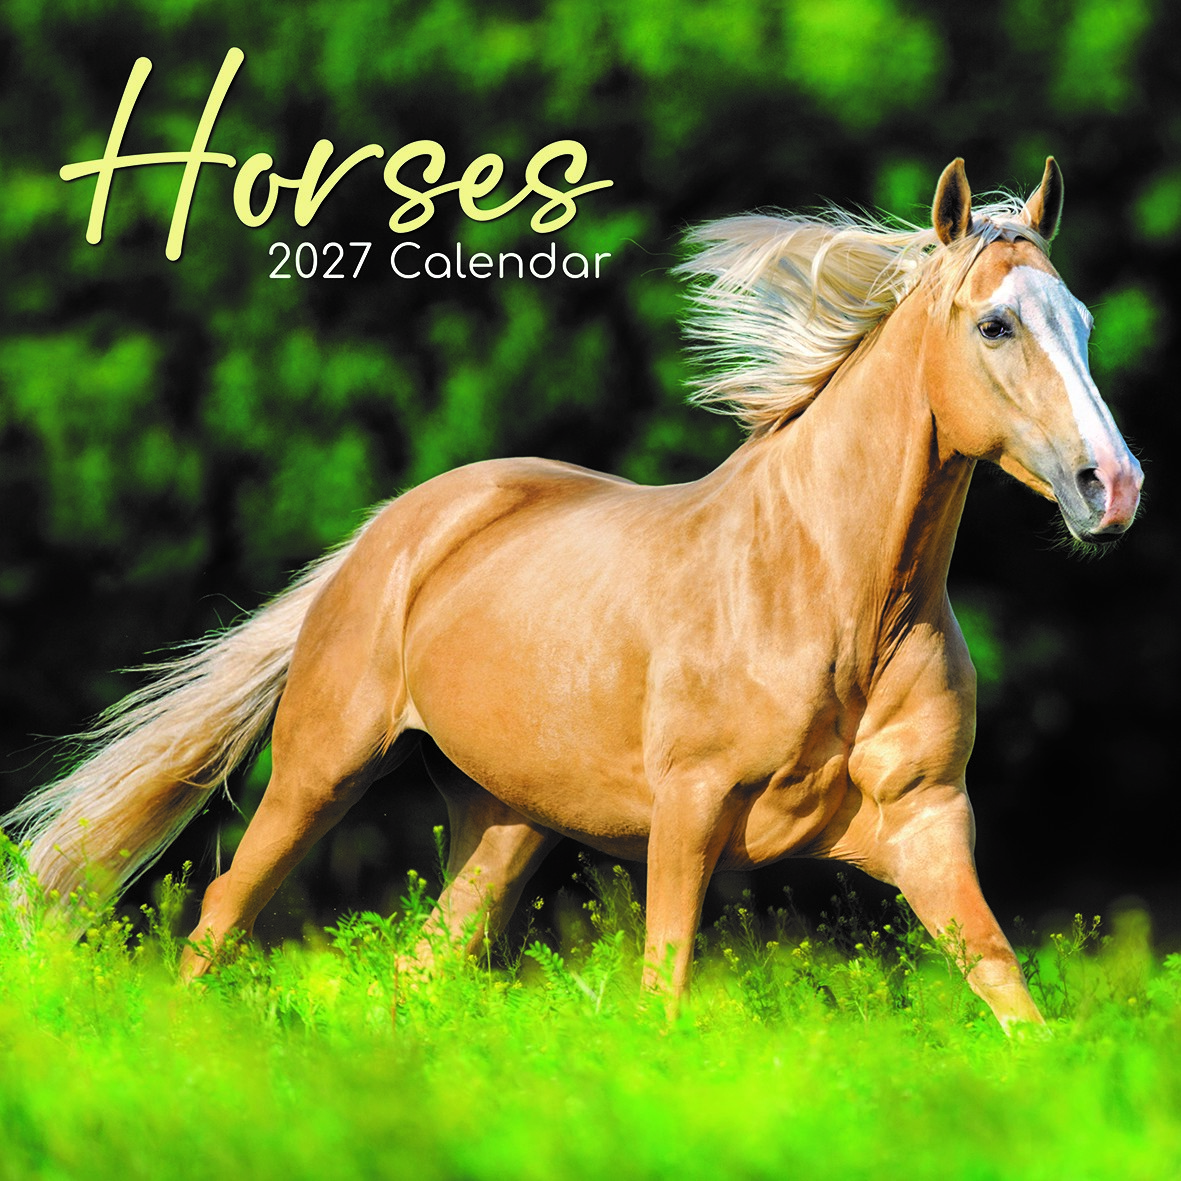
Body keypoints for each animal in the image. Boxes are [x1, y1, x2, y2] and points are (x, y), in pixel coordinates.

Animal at [3, 157, 1142, 1032]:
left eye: (1082, 320)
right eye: (994, 324)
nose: (1112, 486)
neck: (834, 601)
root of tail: (394, 529)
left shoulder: (927, 820)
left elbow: (1009, 993)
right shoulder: (688, 811)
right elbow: (662, 989)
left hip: (504, 819)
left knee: (421, 961)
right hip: (321, 767)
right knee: (221, 915)